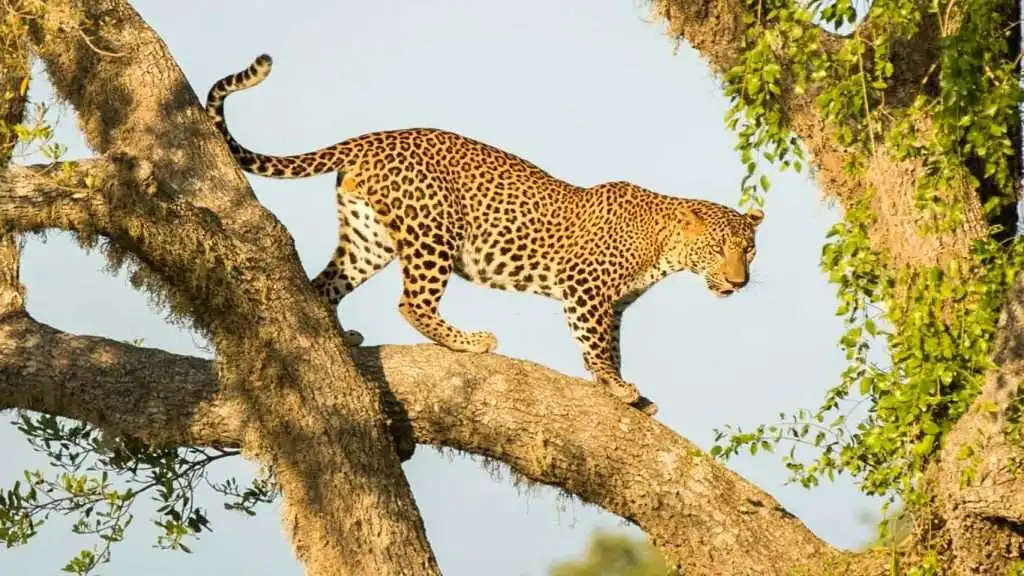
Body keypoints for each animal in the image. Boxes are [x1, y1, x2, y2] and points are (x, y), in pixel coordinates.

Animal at [205, 54, 765, 416]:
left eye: (751, 251)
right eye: (720, 248)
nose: (739, 283)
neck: (664, 248)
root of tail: (377, 137)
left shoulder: (615, 304)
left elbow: (610, 343)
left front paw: (624, 389)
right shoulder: (585, 289)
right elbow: (596, 345)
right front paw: (615, 385)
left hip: (369, 237)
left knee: (323, 288)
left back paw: (341, 337)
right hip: (434, 232)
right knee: (411, 303)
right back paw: (471, 341)